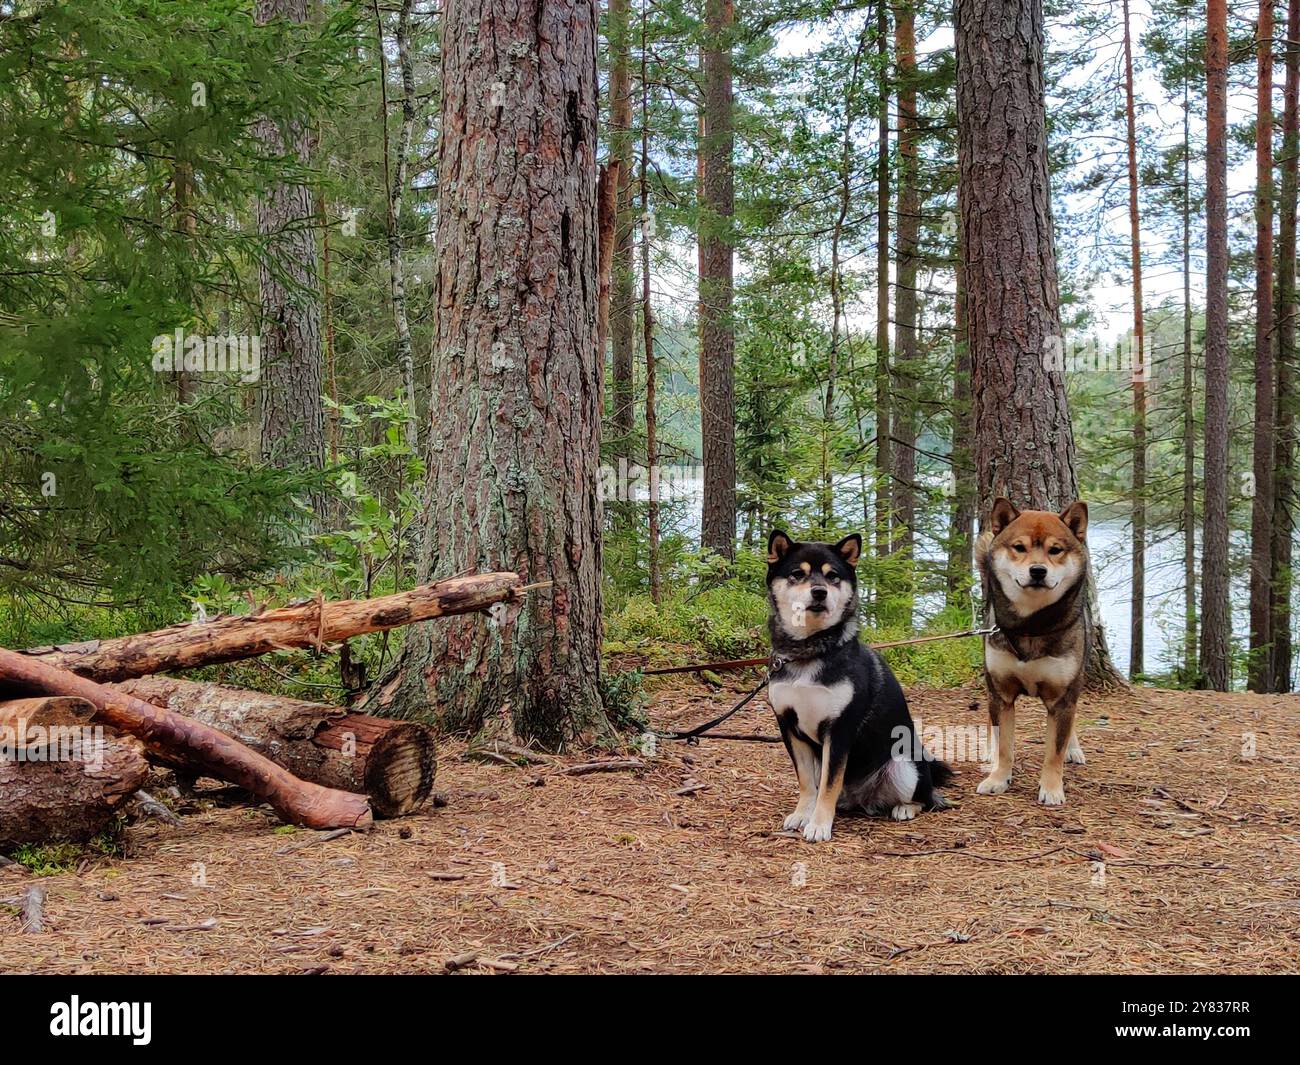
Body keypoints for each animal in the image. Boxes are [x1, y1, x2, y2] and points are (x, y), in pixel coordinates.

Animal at [764, 530, 951, 842]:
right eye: (797, 574)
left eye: (832, 576)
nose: (819, 592)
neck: (810, 650)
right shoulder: (789, 727)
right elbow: (808, 782)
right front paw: (804, 814)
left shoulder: (839, 729)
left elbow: (829, 784)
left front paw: (819, 824)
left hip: (904, 764)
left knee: (926, 799)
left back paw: (905, 808)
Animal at [977, 499, 1086, 806]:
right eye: (1019, 547)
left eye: (1055, 550)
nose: (1038, 571)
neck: (1029, 627)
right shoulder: (1001, 694)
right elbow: (1004, 745)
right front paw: (998, 779)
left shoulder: (1063, 698)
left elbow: (1054, 751)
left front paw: (1051, 789)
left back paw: (1074, 749)